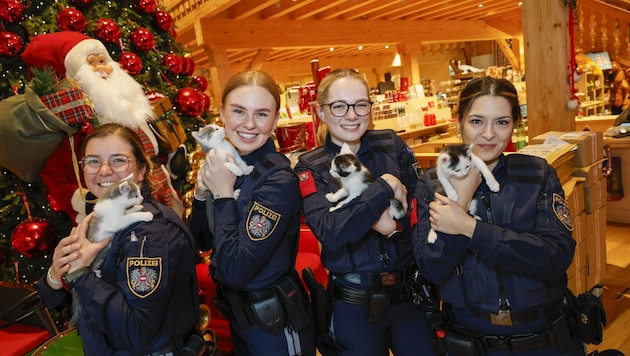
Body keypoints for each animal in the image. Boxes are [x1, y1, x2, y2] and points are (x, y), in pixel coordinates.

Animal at [68, 175, 154, 326]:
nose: (142, 198)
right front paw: (145, 214)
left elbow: (126, 212)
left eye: (139, 193)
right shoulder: (114, 222)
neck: (113, 203)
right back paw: (95, 272)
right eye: (135, 195)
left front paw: (136, 207)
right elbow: (128, 218)